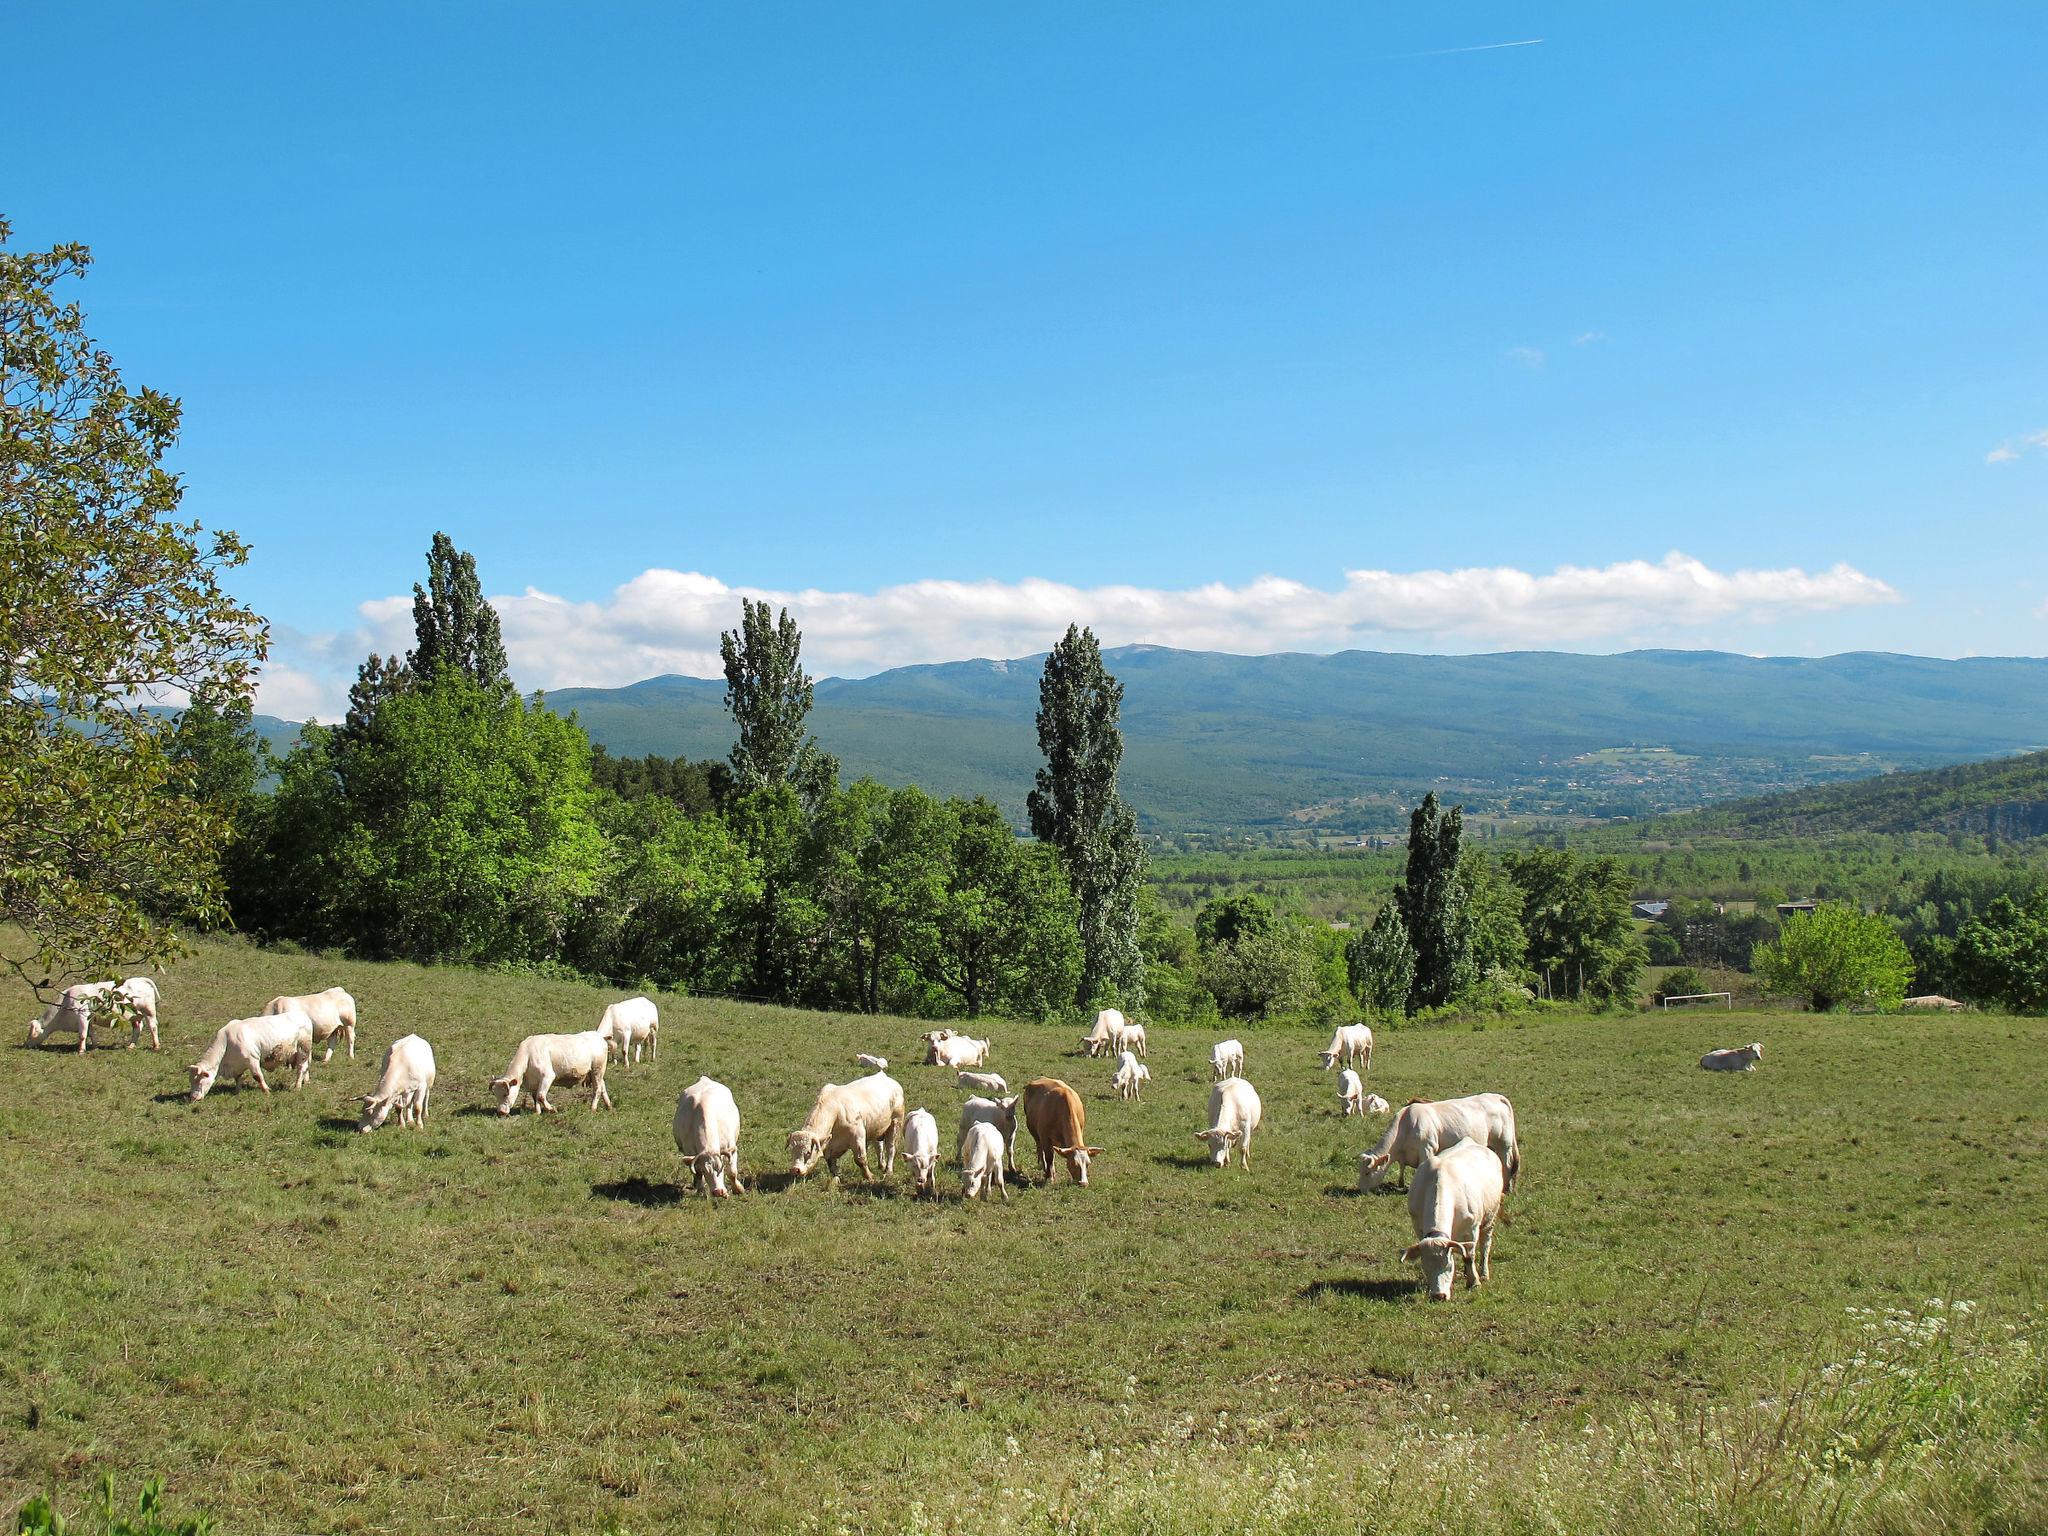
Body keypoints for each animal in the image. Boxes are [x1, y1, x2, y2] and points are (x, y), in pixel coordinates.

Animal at [25, 978, 159, 1056]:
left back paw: (156, 1046)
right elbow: (91, 1033)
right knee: (137, 1028)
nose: (26, 1045)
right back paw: (131, 1046)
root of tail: (141, 979)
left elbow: (83, 1035)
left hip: (149, 1011)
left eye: (30, 1034)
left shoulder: (82, 1015)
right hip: (134, 1016)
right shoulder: (87, 1020)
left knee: (153, 1027)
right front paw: (94, 1046)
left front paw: (81, 1051)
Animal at [1359, 1097, 1523, 1204]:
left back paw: (1506, 1189)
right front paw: (1401, 1184)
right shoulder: (1403, 1156)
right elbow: (1401, 1169)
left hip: (1504, 1143)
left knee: (1507, 1165)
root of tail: (1497, 1096)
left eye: (1367, 1173)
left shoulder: (1427, 1148)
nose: (1360, 1190)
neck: (1405, 1127)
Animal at [1400, 1138, 1515, 1302]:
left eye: (1449, 1266)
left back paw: (1483, 1273)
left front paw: (1474, 1282)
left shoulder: (1471, 1229)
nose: (1439, 1296)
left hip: (1490, 1218)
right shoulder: (1418, 1227)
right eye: (1425, 1267)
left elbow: (1469, 1255)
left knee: (1485, 1245)